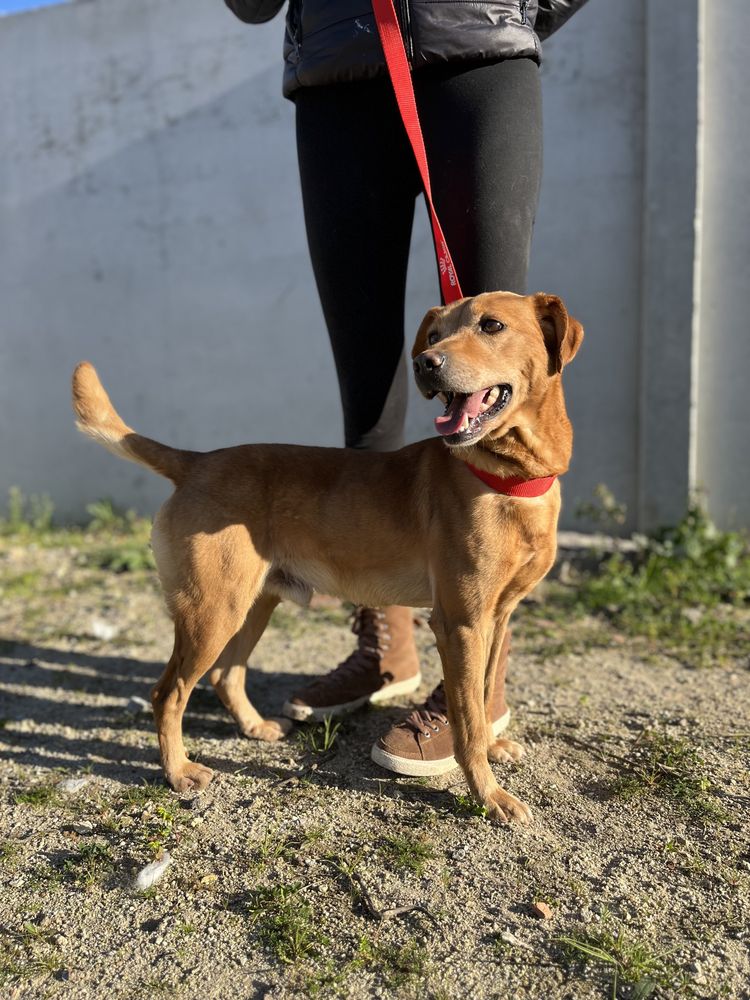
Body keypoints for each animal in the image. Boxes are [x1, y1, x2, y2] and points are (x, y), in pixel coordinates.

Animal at [72, 292, 580, 824]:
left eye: (491, 326)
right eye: (435, 336)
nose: (424, 362)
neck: (510, 478)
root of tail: (197, 461)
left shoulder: (496, 619)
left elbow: (481, 699)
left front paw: (494, 748)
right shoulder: (461, 623)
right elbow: (467, 720)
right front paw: (489, 794)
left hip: (252, 606)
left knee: (225, 676)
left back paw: (253, 727)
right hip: (212, 612)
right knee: (168, 692)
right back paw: (177, 771)